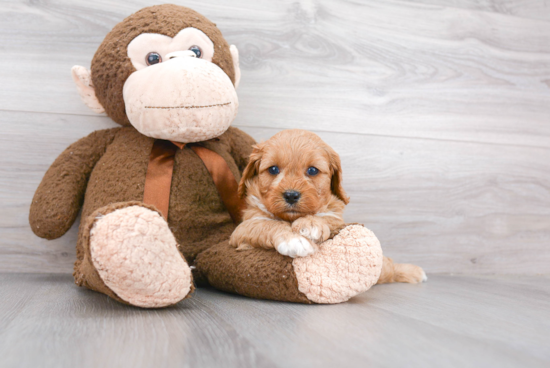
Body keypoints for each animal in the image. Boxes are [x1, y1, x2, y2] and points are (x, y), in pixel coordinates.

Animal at [231, 129, 430, 284]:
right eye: (273, 169)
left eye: (312, 170)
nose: (291, 195)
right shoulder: (241, 230)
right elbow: (267, 224)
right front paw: (294, 240)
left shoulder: (337, 219)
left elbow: (325, 217)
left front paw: (311, 224)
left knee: (388, 267)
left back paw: (413, 271)